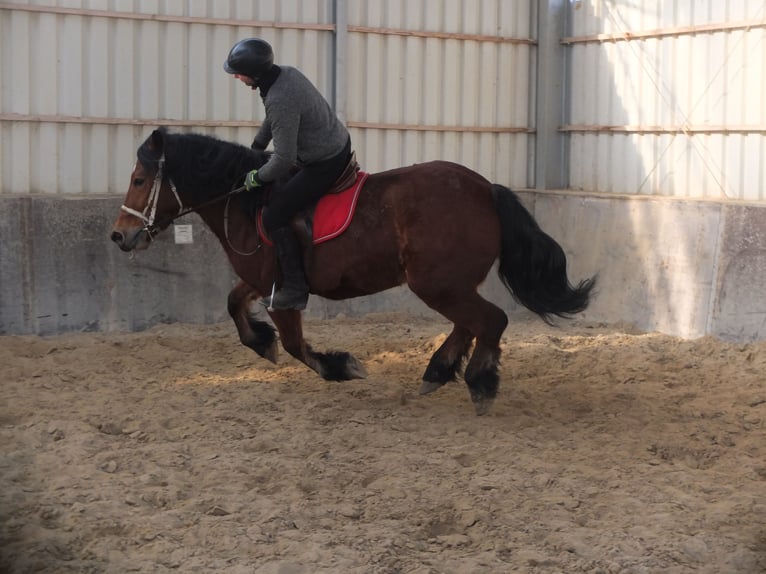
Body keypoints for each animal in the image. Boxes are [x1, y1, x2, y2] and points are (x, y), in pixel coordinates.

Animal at [111, 127, 596, 414]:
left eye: (138, 180)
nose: (119, 236)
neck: (247, 203)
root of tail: (485, 189)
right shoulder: (261, 282)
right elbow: (234, 306)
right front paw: (261, 343)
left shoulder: (283, 293)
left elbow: (295, 345)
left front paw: (341, 366)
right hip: (448, 283)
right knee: (470, 323)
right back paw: (438, 372)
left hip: (435, 283)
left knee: (490, 321)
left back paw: (480, 382)